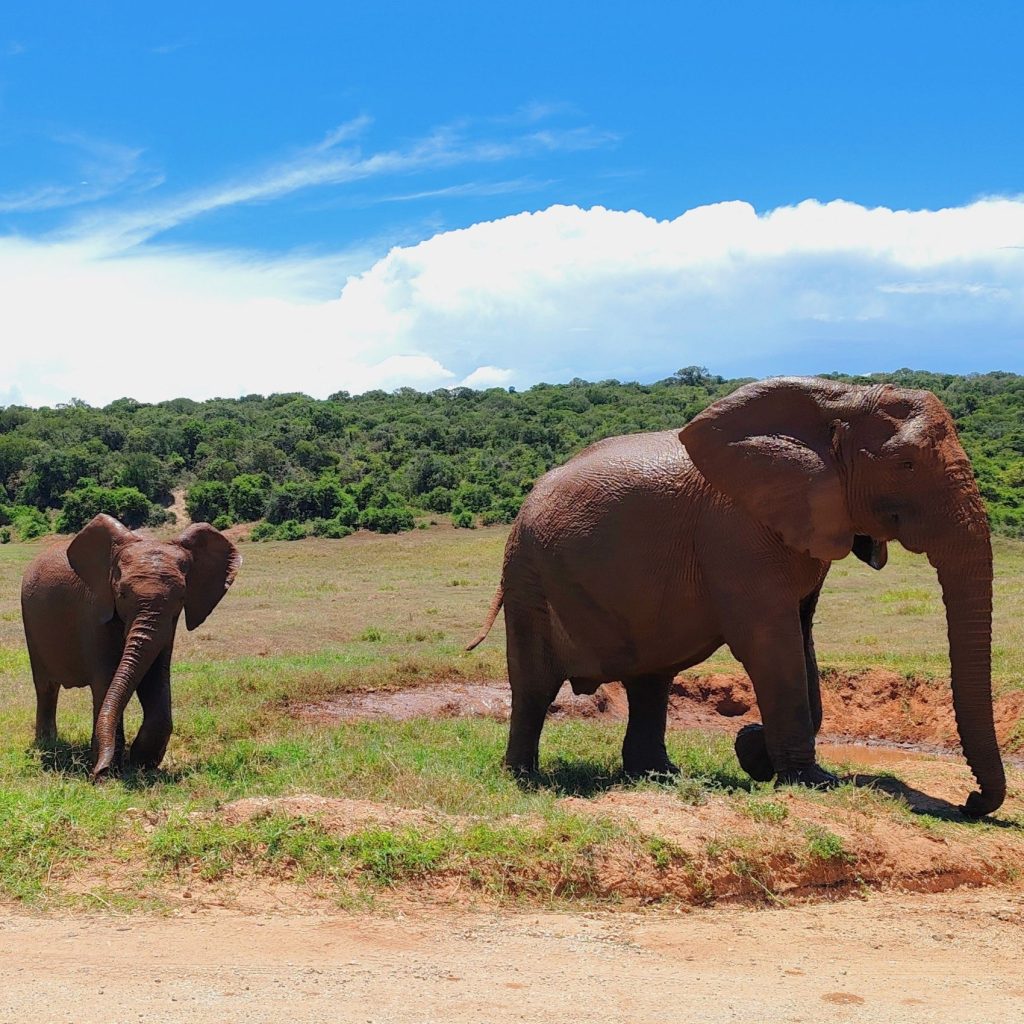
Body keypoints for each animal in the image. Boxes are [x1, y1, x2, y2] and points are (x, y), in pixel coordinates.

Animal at [21, 514, 241, 780]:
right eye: (122, 594)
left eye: (181, 598)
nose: (97, 774)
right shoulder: (94, 610)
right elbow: (107, 679)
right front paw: (110, 770)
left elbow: (155, 675)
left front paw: (141, 764)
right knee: (46, 688)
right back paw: (48, 745)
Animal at [468, 376, 1005, 817]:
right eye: (906, 464)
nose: (971, 802)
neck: (841, 398)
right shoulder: (736, 534)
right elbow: (771, 643)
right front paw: (811, 781)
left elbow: (802, 637)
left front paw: (759, 756)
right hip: (528, 574)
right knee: (535, 684)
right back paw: (525, 779)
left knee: (650, 680)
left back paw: (659, 776)